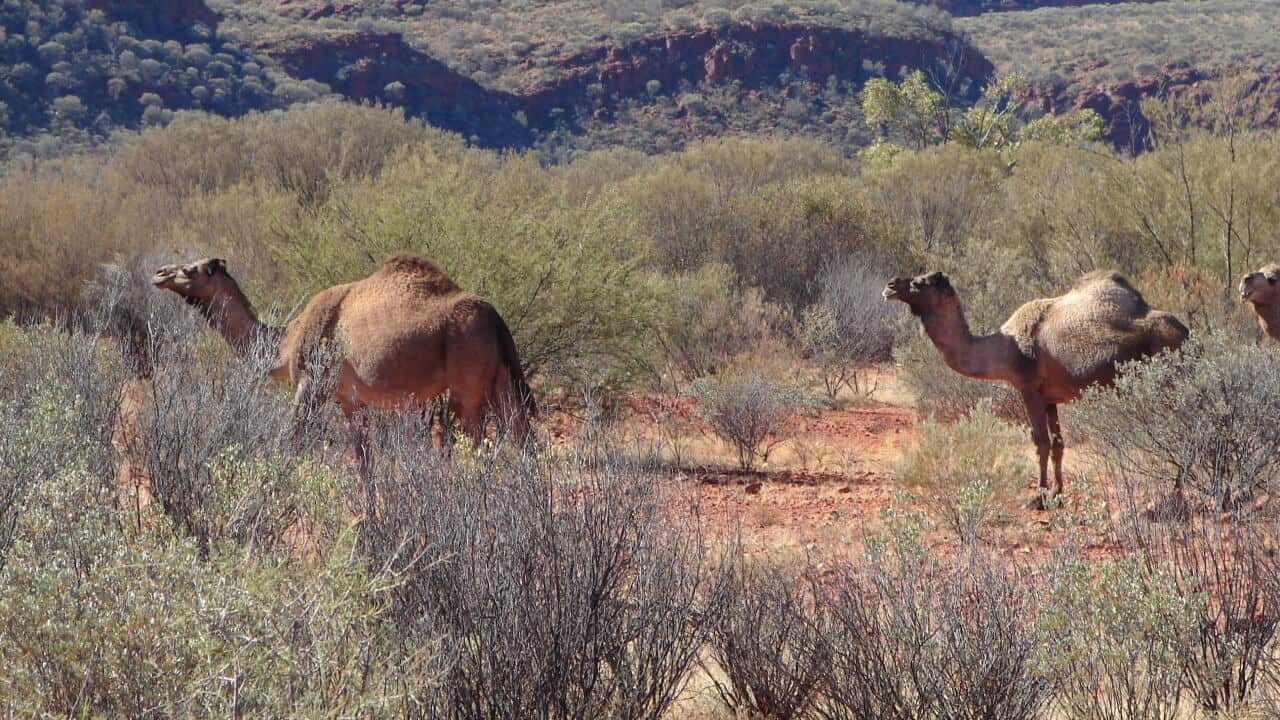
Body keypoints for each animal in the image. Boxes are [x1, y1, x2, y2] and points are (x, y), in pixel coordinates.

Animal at [152, 253, 536, 473]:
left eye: (191, 269)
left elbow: (290, 444)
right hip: (502, 379)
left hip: (466, 385)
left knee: (480, 447)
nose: (159, 273)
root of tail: (496, 319)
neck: (285, 342)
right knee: (524, 440)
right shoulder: (350, 399)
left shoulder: (311, 384)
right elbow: (364, 463)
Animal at [883, 270, 1188, 503]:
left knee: (1181, 430)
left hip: (1169, 385)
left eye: (920, 283)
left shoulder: (1028, 389)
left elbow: (1040, 442)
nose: (890, 285)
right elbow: (1058, 444)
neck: (1004, 346)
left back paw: (1176, 494)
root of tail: (1186, 332)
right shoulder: (1050, 397)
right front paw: (1057, 493)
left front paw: (1039, 497)